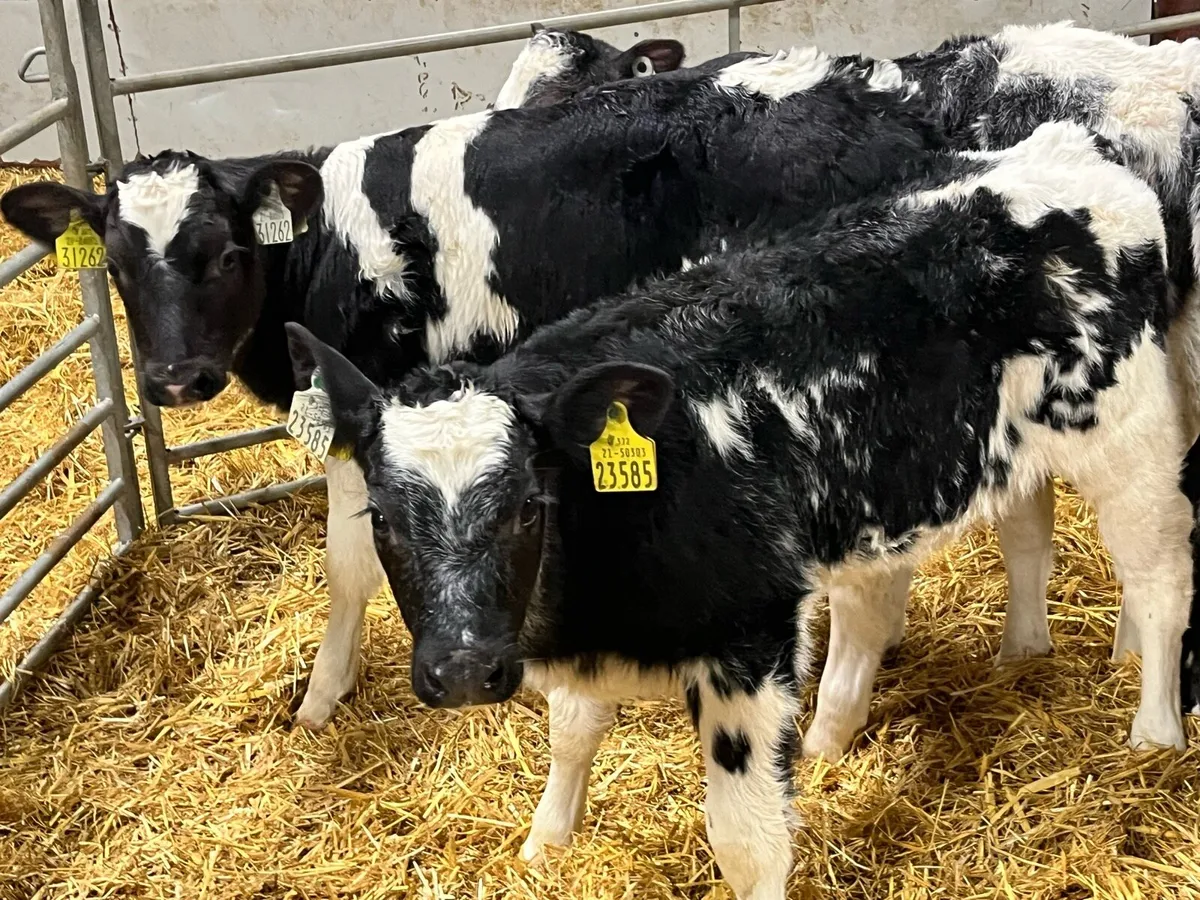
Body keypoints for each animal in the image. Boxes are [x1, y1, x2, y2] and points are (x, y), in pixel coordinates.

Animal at [0, 49, 947, 731]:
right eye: (115, 265)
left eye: (229, 254)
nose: (173, 380)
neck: (326, 250)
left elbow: (348, 566)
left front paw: (322, 695)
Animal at [286, 121, 1191, 900]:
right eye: (382, 518)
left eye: (526, 507)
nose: (467, 670)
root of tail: (1063, 150)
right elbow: (573, 732)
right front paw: (546, 840)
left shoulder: (749, 648)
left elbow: (746, 841)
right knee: (1016, 534)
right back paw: (999, 661)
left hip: (1132, 436)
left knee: (1158, 577)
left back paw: (1155, 732)